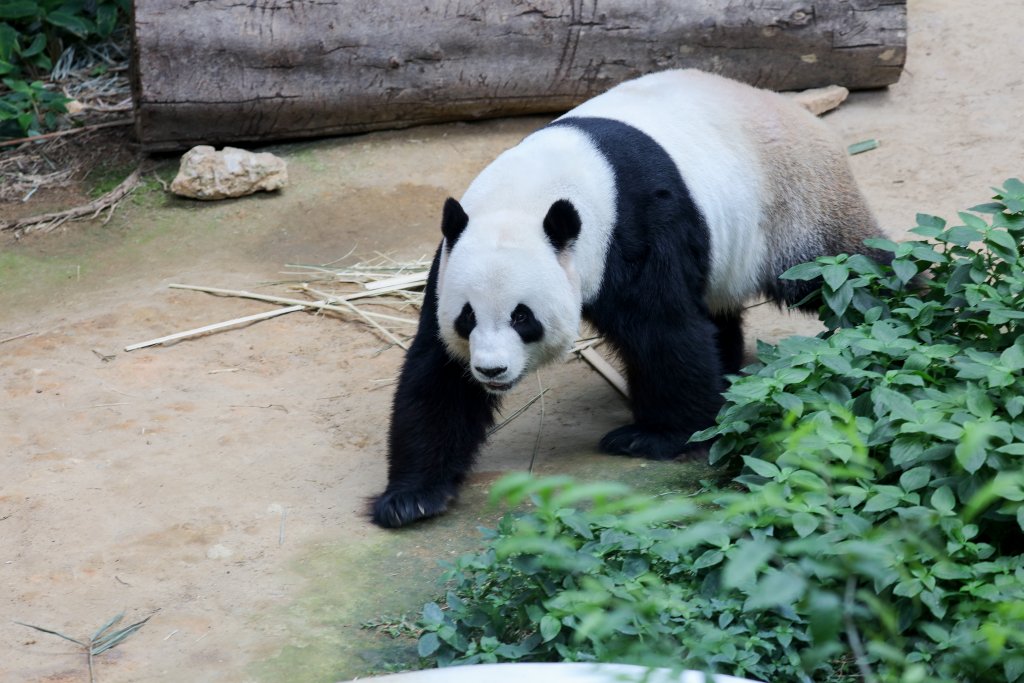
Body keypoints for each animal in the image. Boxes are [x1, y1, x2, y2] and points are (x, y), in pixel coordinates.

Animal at [371, 69, 889, 528]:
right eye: (467, 318)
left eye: (522, 317)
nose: (492, 371)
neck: (528, 195)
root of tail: (798, 111)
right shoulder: (451, 258)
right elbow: (437, 372)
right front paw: (411, 498)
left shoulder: (636, 227)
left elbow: (664, 331)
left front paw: (658, 437)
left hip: (795, 208)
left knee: (845, 271)